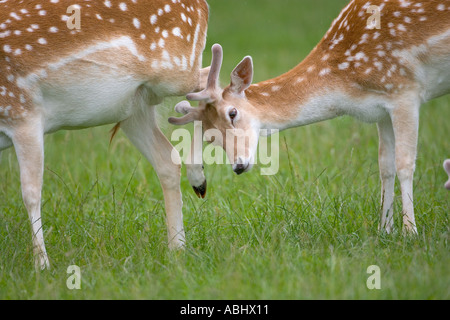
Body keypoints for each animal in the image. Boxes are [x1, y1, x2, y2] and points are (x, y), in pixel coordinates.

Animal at [0, 0, 211, 270]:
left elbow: (30, 193)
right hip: (134, 106)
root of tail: (202, 5)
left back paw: (198, 180)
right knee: (167, 159)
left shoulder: (22, 112)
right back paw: (177, 247)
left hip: (176, 72)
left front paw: (42, 266)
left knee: (212, 79)